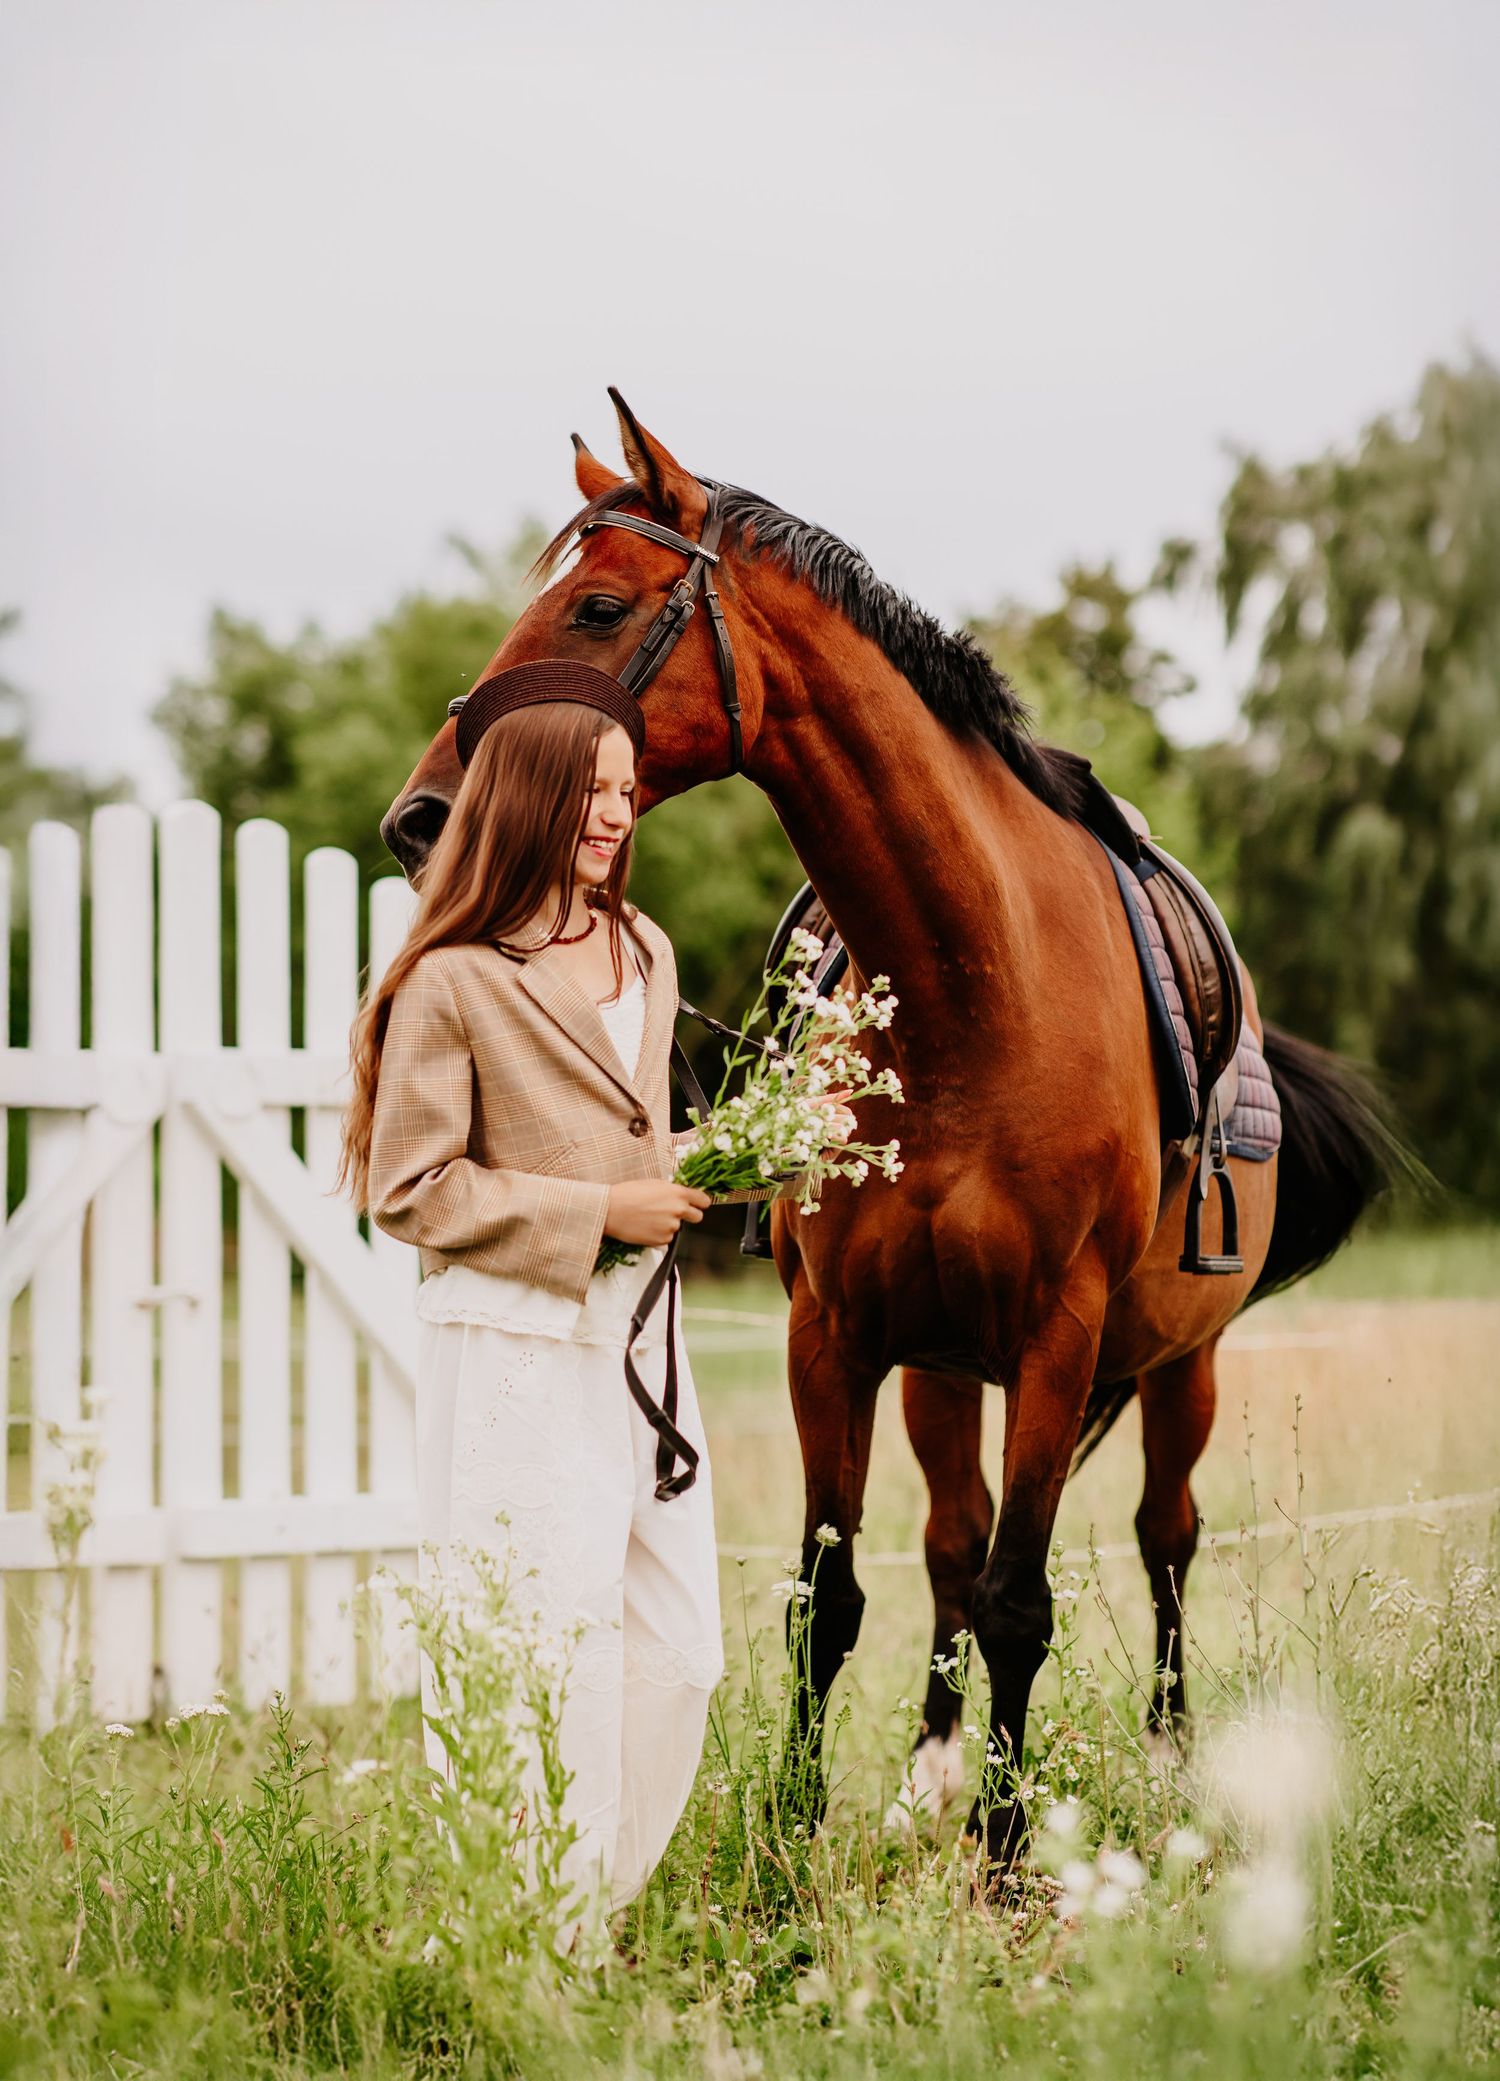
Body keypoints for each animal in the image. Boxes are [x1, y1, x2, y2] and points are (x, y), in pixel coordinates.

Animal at [379, 391, 1398, 1866]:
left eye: (597, 607)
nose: (420, 818)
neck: (976, 985)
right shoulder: (837, 1337)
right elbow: (837, 1595)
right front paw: (797, 1835)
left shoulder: (1058, 1339)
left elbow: (1025, 1597)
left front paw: (1008, 1851)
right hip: (938, 1367)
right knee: (950, 1549)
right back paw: (931, 1770)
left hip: (1176, 1365)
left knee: (1165, 1536)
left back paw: (1162, 1757)